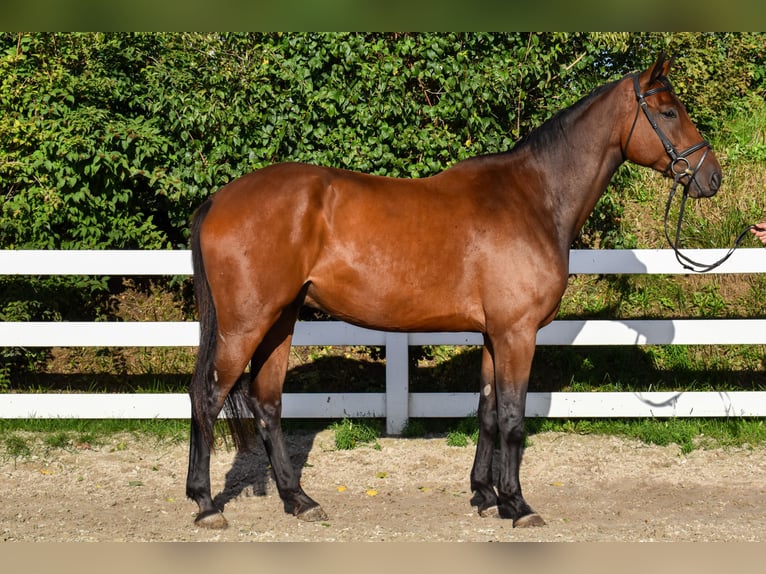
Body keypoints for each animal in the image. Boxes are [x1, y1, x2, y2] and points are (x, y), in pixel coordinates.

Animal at [185, 53, 721, 529]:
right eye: (668, 112)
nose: (711, 176)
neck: (534, 197)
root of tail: (218, 200)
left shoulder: (493, 334)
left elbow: (486, 410)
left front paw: (485, 495)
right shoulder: (517, 333)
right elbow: (512, 417)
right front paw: (518, 505)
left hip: (280, 320)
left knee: (267, 404)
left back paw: (299, 500)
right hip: (246, 325)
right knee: (207, 396)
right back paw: (206, 504)